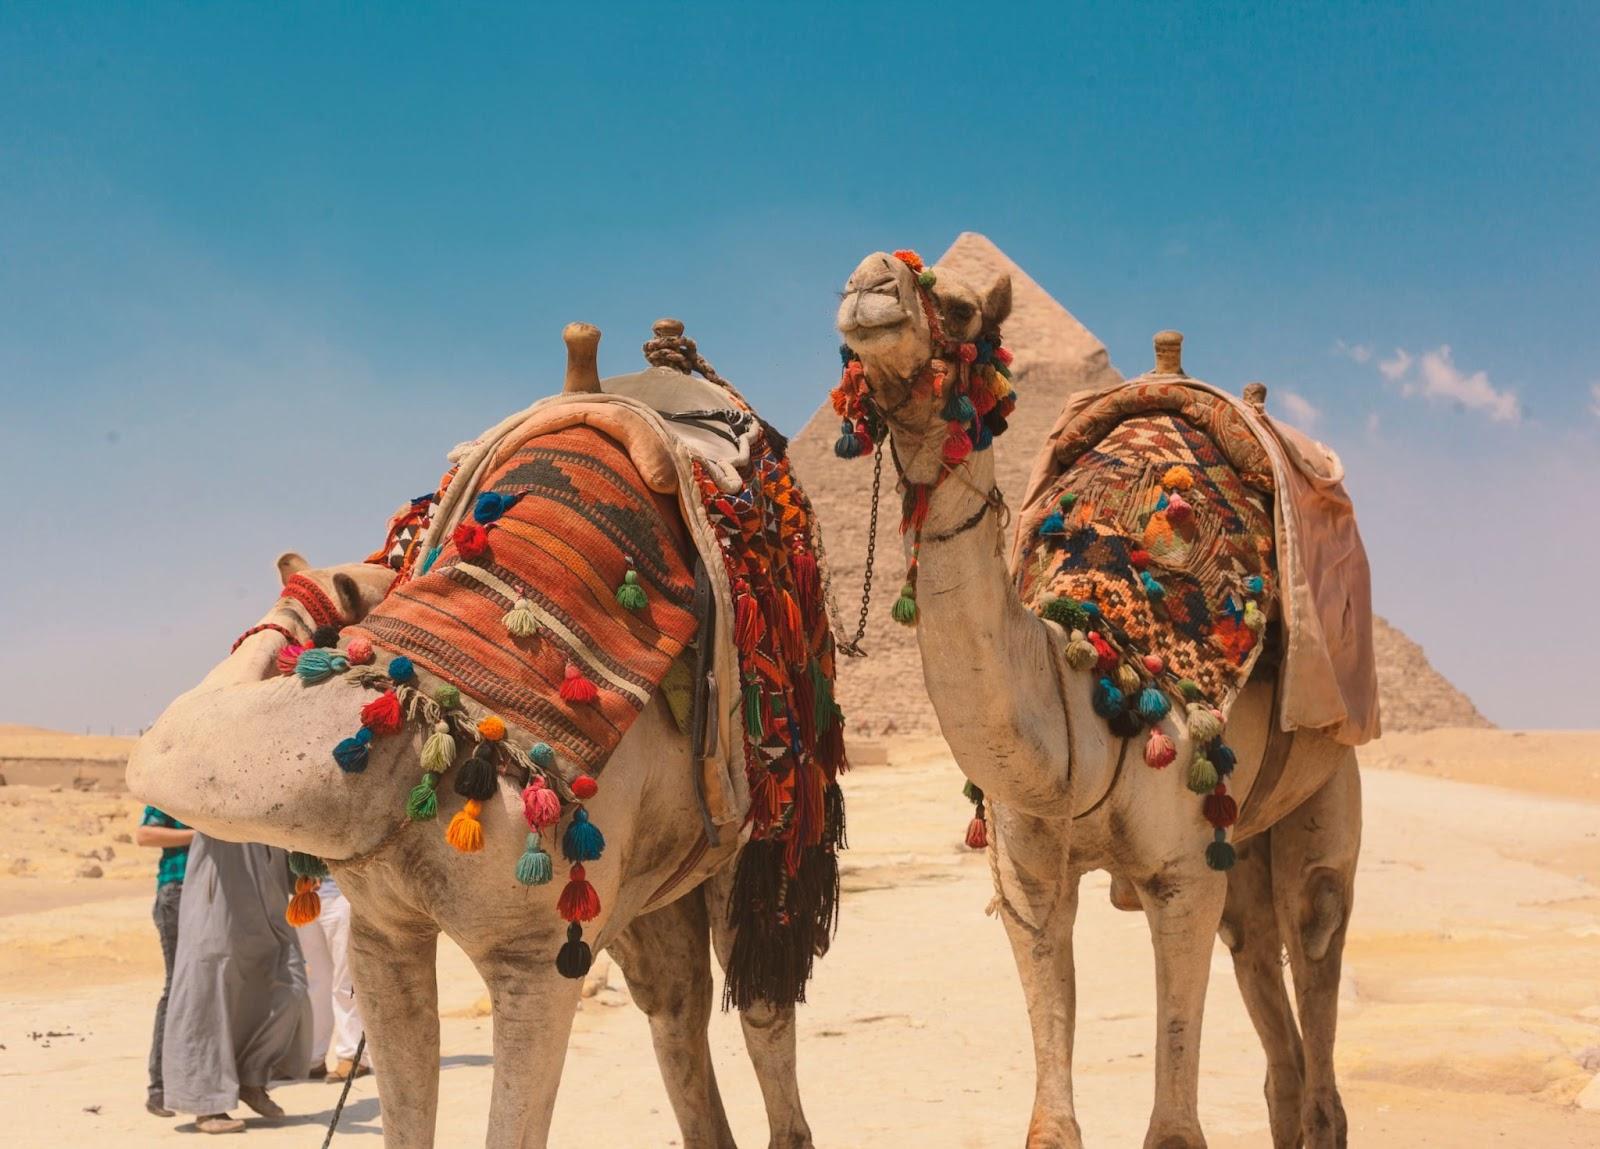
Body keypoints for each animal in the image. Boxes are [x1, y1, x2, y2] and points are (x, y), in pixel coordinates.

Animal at [128, 326, 825, 1149]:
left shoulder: (536, 957)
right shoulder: (383, 934)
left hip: (759, 824)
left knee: (761, 995)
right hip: (648, 877)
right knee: (675, 1000)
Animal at [825, 248, 1363, 1145]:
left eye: (962, 308)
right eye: (844, 288)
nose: (868, 285)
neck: (1094, 686)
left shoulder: (1183, 873)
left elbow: (1175, 1128)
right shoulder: (1029, 875)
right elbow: (1051, 1121)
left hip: (1327, 778)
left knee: (1315, 928)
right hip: (1242, 834)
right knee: (1259, 957)